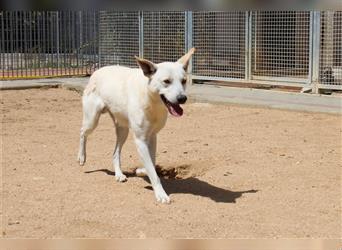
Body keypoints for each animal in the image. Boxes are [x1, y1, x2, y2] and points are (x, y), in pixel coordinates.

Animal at [77, 47, 195, 203]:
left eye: (183, 81)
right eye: (166, 81)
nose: (182, 98)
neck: (151, 102)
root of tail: (97, 71)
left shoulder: (152, 137)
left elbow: (151, 164)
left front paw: (140, 171)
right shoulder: (140, 140)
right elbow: (152, 170)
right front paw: (161, 194)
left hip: (123, 130)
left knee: (115, 153)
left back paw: (119, 175)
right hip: (92, 120)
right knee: (82, 132)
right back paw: (81, 157)